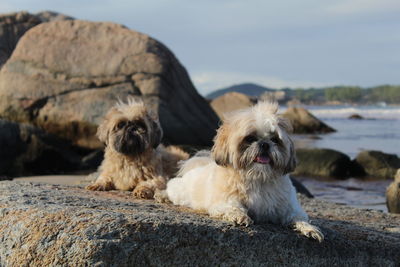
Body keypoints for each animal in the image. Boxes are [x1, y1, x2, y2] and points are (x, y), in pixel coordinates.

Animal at [156, 101, 324, 243]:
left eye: (275, 139)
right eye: (250, 138)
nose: (264, 144)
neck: (258, 177)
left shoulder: (288, 206)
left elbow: (298, 217)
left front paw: (310, 229)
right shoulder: (223, 201)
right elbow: (233, 207)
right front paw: (241, 217)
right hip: (181, 192)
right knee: (171, 187)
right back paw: (162, 195)